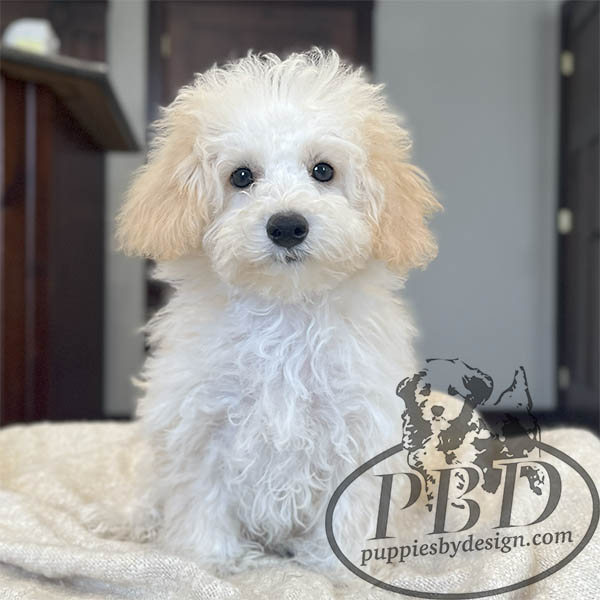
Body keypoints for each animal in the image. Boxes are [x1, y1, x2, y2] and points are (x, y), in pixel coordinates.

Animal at [117, 48, 441, 571]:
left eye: (323, 171)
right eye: (241, 176)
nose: (287, 226)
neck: (285, 312)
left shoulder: (360, 425)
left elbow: (349, 503)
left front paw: (338, 565)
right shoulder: (199, 421)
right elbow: (201, 495)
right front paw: (210, 559)